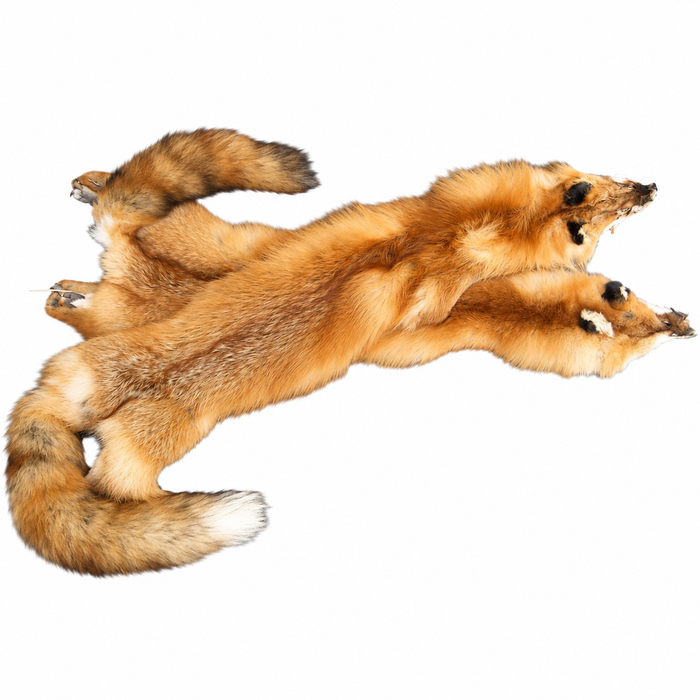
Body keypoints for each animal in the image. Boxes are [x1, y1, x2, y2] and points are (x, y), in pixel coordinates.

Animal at [6, 129, 694, 576]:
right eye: (608, 204)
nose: (682, 323)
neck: (466, 231)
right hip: (143, 453)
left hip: (141, 282)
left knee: (89, 257)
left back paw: (81, 229)